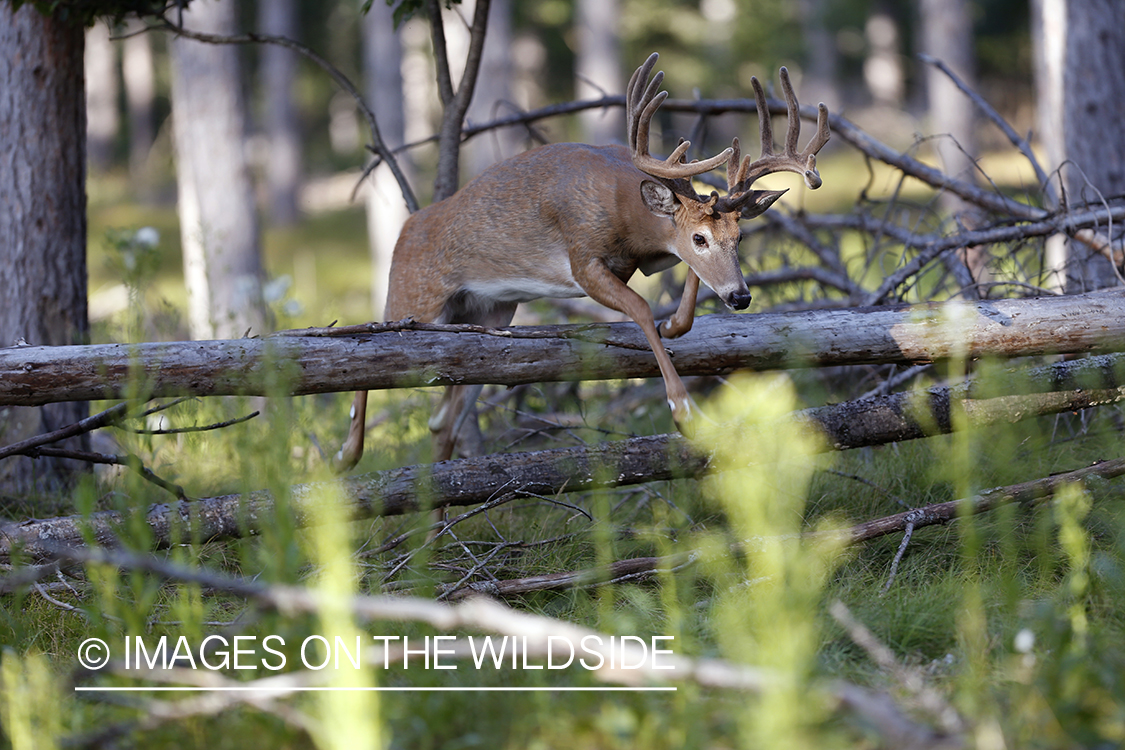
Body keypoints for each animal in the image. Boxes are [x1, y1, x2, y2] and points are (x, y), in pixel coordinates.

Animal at [333, 51, 828, 474]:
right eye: (699, 237)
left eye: (739, 238)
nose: (741, 296)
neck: (628, 215)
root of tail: (406, 228)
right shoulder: (582, 259)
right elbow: (642, 307)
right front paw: (685, 412)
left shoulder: (645, 260)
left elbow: (683, 291)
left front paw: (674, 326)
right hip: (416, 291)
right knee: (370, 340)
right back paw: (346, 453)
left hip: (489, 311)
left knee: (443, 419)